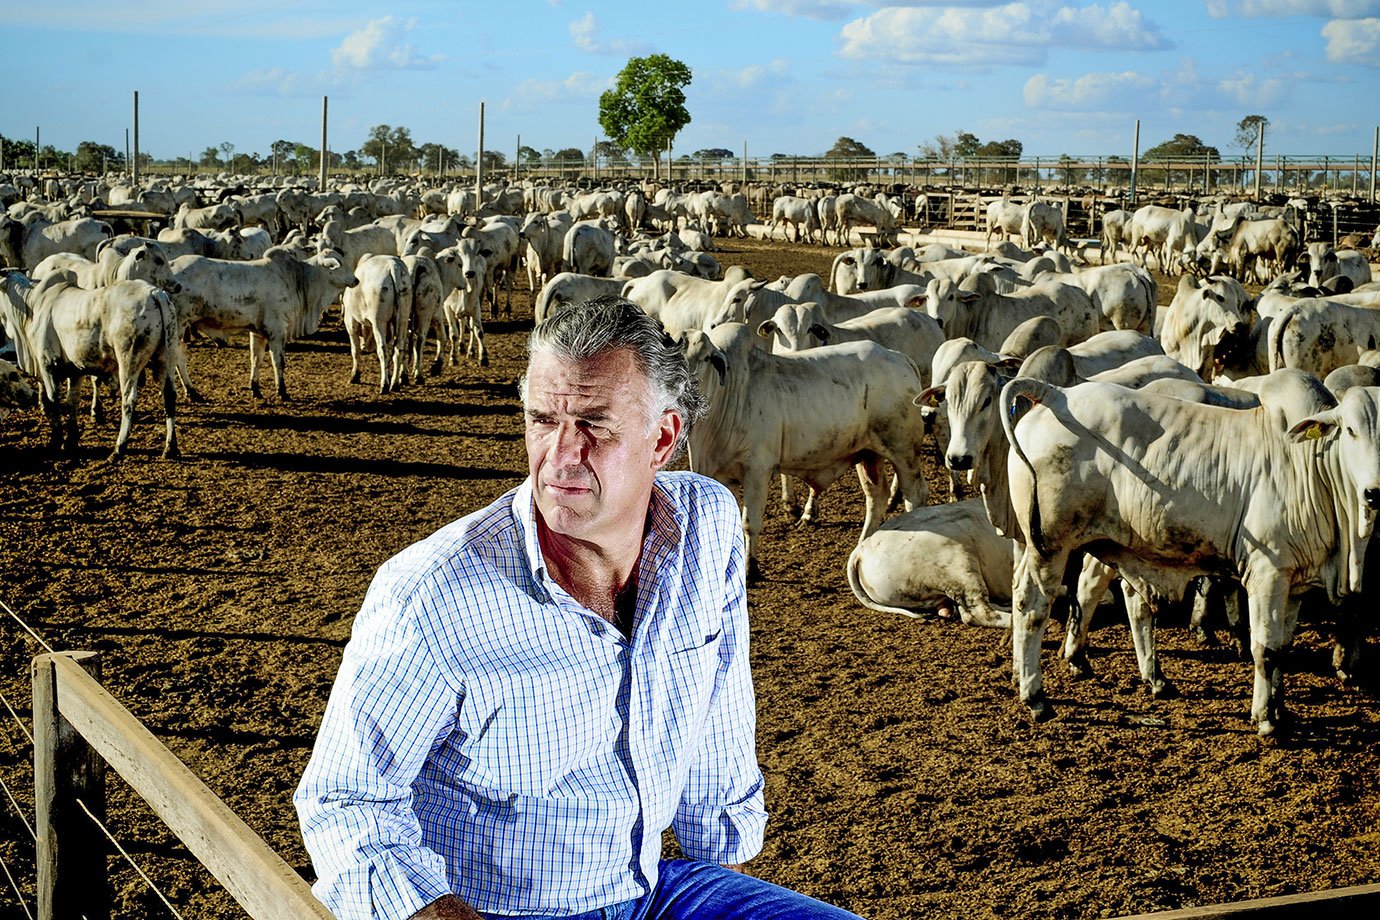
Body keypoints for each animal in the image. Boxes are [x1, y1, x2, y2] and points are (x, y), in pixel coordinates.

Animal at [1004, 369, 1380, 739]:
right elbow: (1265, 648)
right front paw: (1265, 719)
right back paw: (1035, 697)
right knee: (1032, 605)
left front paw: (1281, 710)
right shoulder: (1267, 573)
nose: (1374, 493)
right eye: (1350, 430)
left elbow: (1283, 647)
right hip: (1049, 545)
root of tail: (1056, 394)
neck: (1313, 468)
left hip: (1090, 541)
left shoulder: (1295, 582)